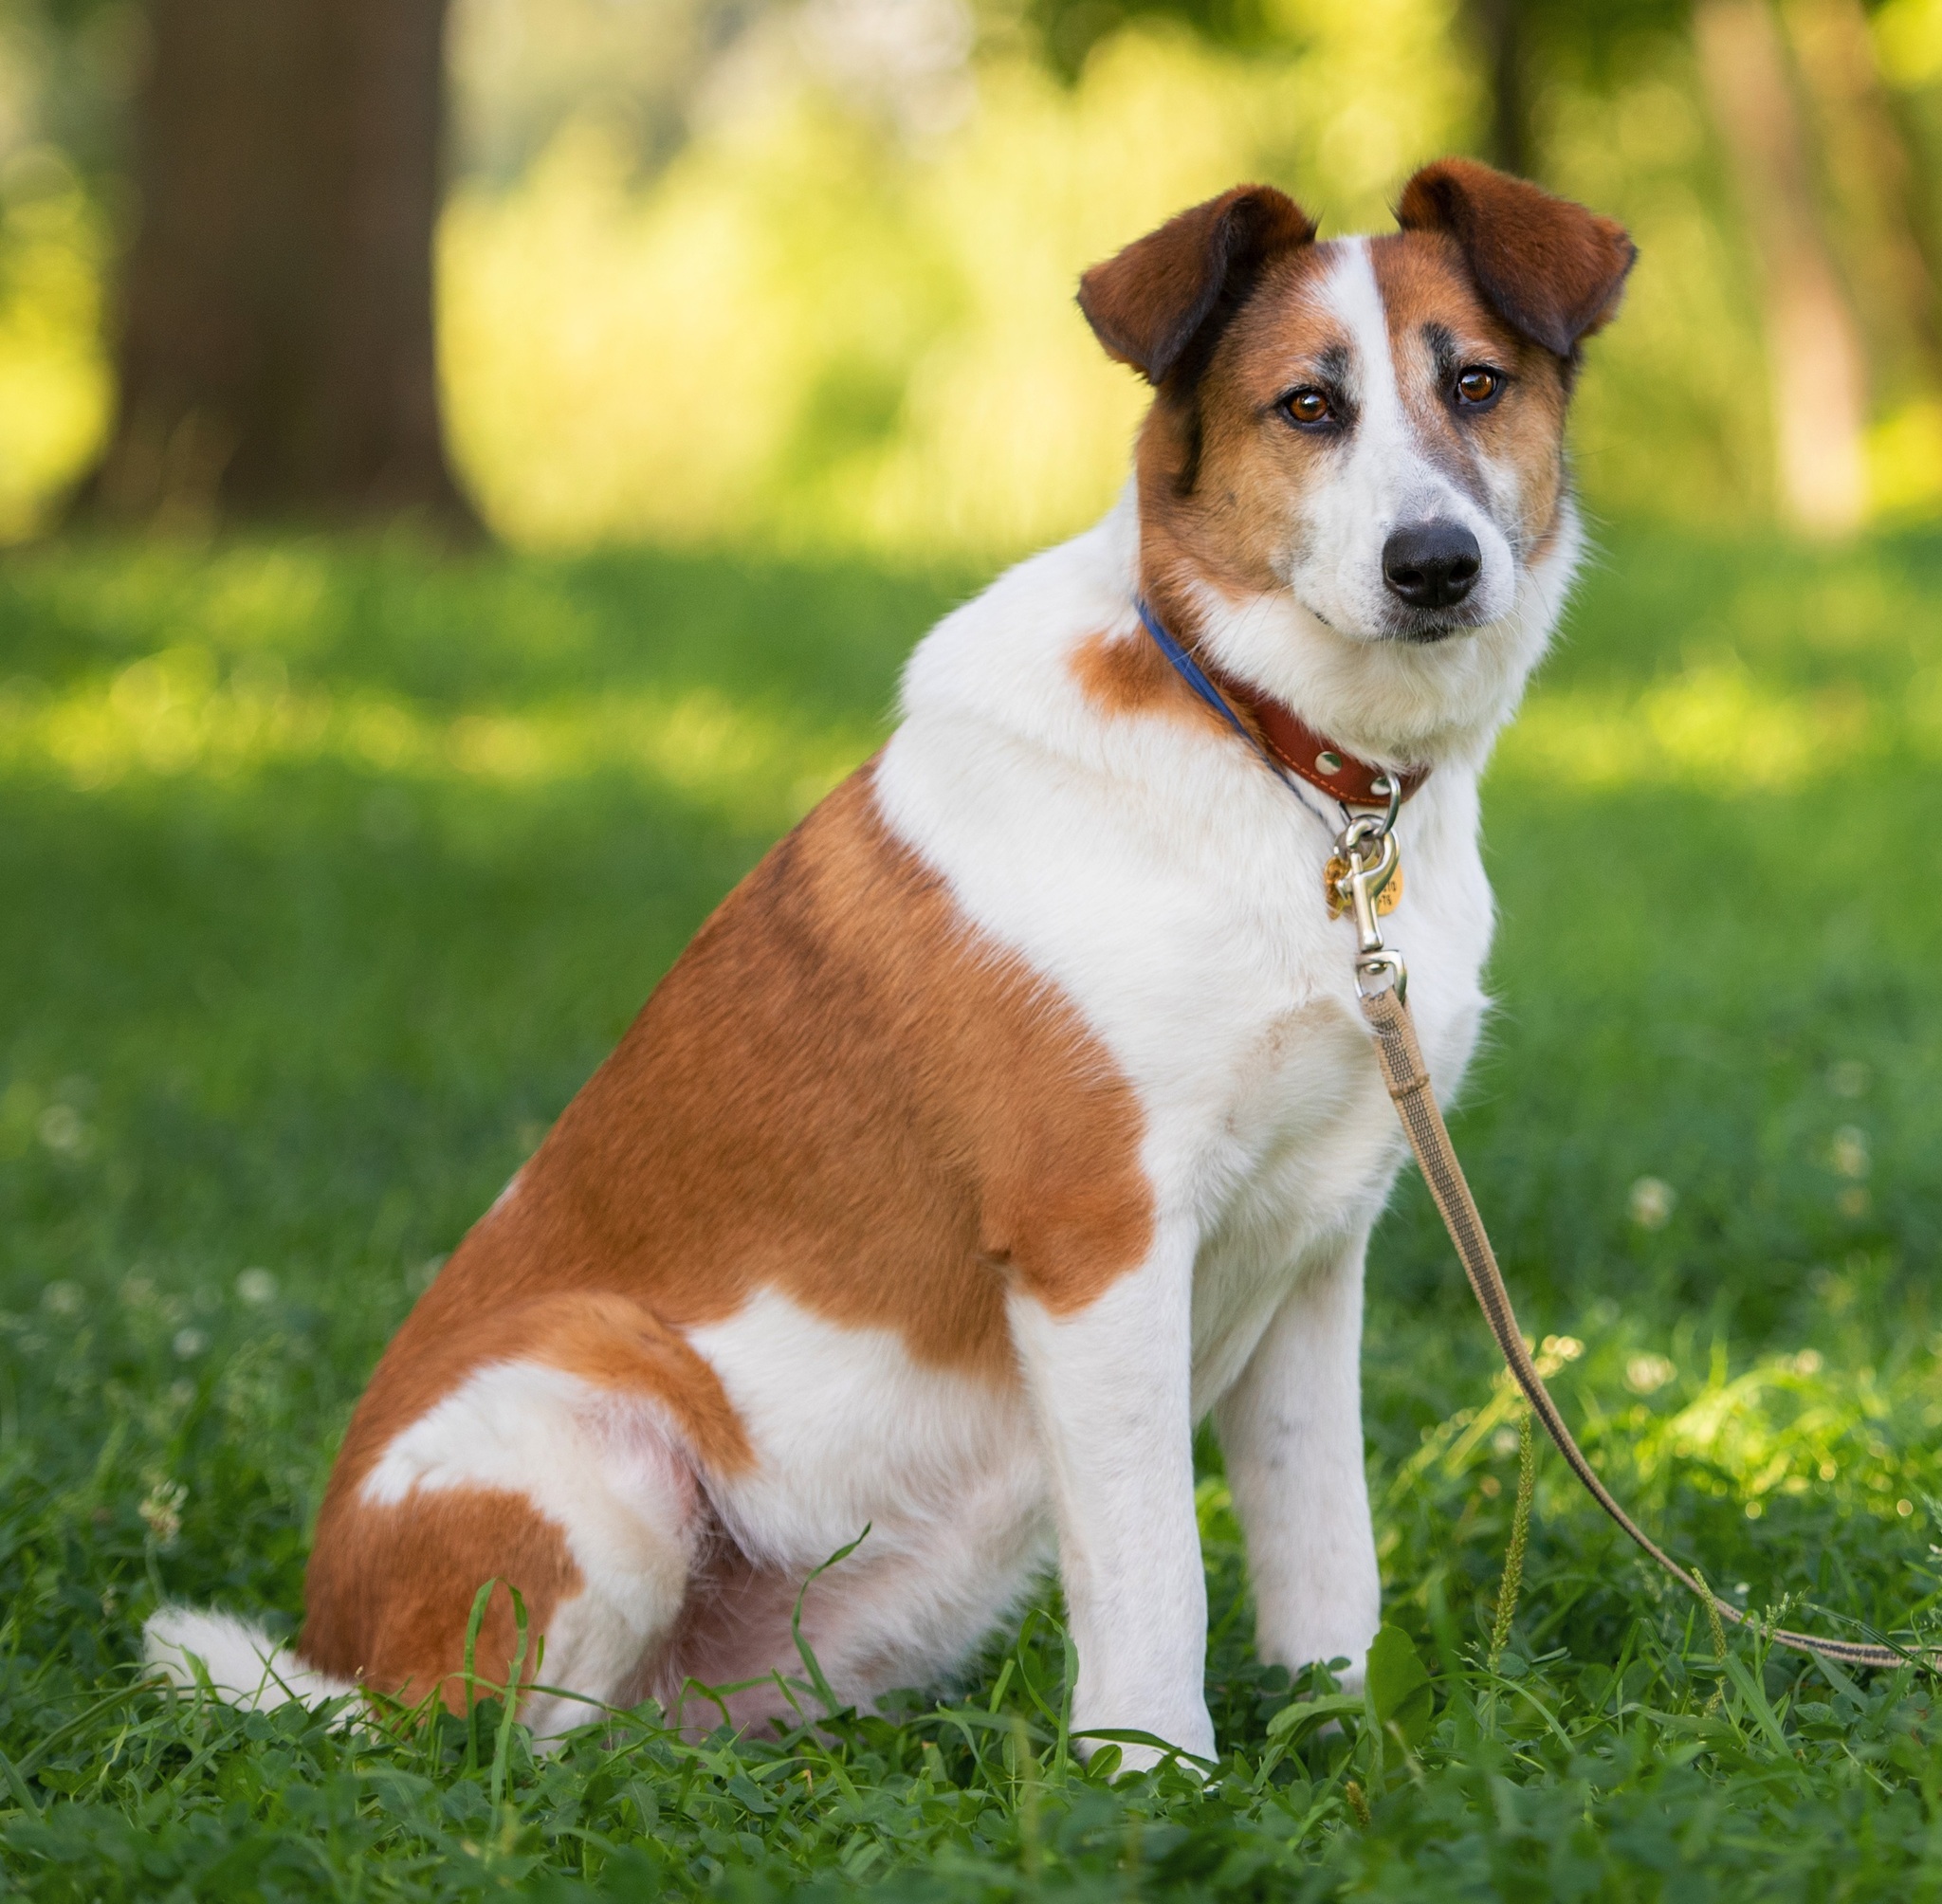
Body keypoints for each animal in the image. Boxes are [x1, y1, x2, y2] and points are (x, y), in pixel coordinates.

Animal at [151, 156, 1631, 1764]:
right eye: (1308, 406)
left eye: (1476, 385)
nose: (1437, 565)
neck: (1278, 758)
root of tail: (337, 1653)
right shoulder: (1098, 1241)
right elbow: (1157, 1567)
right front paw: (1152, 1772)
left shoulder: (1316, 1247)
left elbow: (1322, 1546)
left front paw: (1348, 1735)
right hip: (593, 1441)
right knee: (491, 1752)